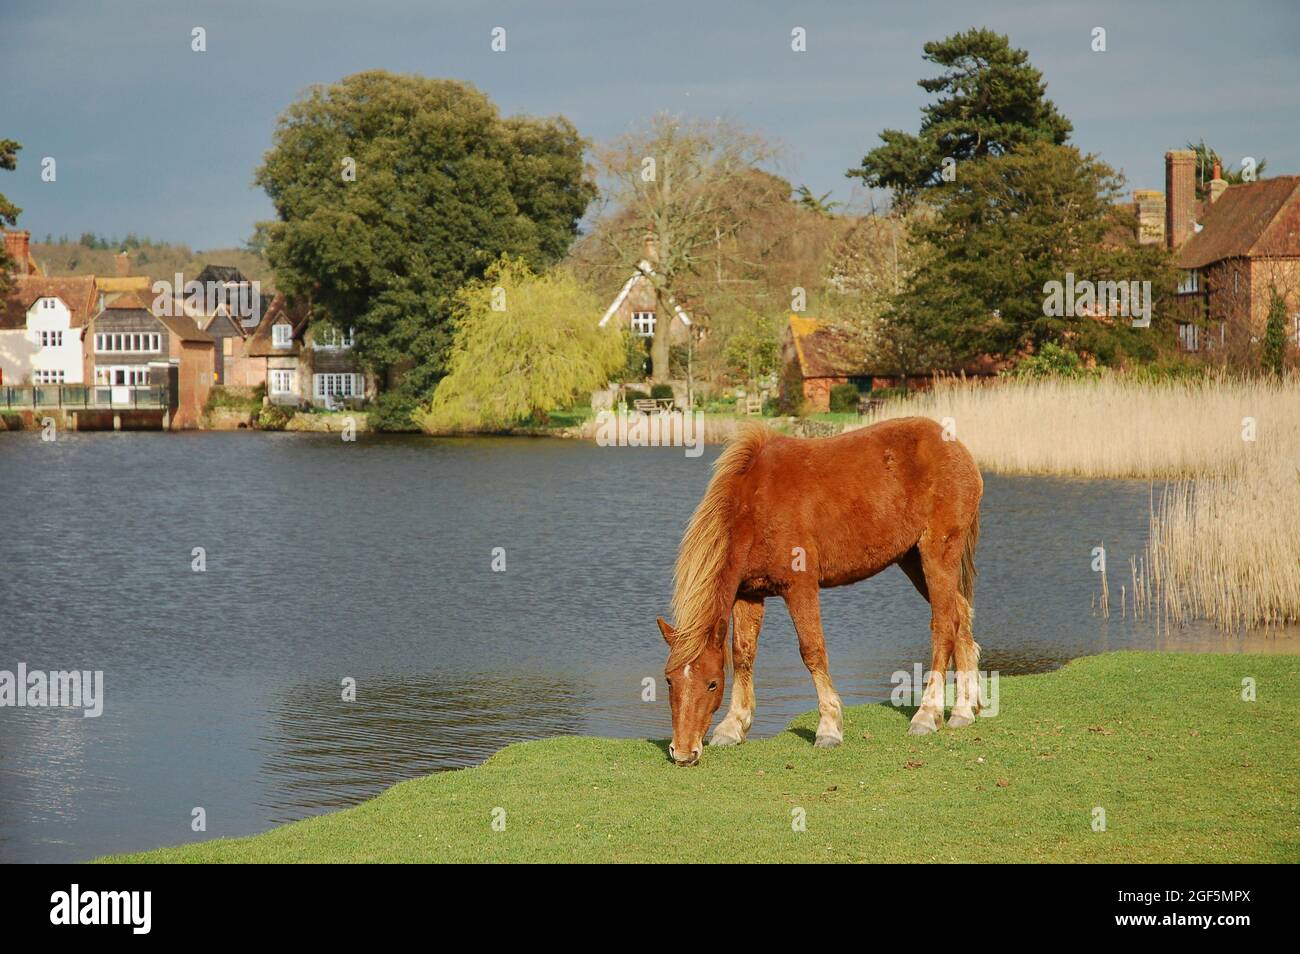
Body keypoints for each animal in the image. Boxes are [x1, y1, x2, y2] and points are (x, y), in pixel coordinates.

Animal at [658, 416, 983, 766]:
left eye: (712, 683)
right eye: (669, 680)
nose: (684, 752)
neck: (756, 505)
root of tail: (955, 447)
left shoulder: (800, 586)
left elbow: (812, 651)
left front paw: (828, 728)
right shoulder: (749, 593)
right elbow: (744, 654)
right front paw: (733, 727)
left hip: (937, 554)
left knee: (944, 626)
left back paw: (927, 714)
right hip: (913, 560)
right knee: (960, 616)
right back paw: (964, 711)